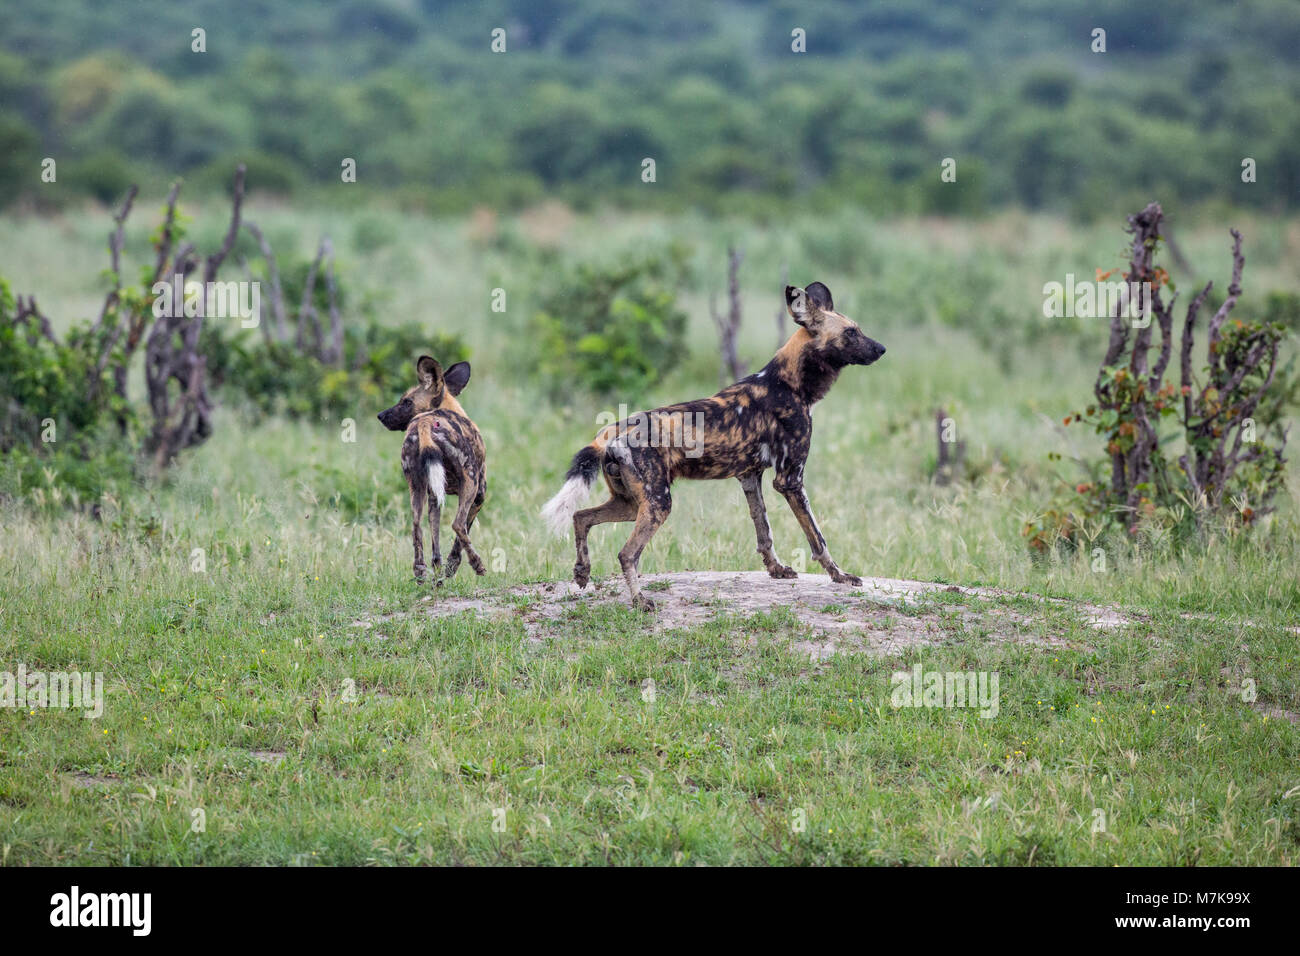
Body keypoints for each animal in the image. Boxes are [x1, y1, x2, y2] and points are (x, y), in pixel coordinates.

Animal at [379, 358, 491, 582]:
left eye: (406, 402)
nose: (381, 415)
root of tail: (424, 423)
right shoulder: (479, 495)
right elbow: (460, 538)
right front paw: (450, 569)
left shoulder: (434, 497)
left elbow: (435, 542)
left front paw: (439, 574)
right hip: (471, 484)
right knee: (457, 525)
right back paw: (478, 565)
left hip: (416, 488)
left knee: (416, 527)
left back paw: (420, 572)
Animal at [543, 280, 889, 608]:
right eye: (850, 333)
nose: (882, 349)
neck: (791, 383)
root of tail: (613, 429)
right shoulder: (790, 480)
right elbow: (818, 539)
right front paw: (840, 576)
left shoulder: (750, 477)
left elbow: (764, 532)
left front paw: (776, 570)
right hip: (657, 504)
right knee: (627, 553)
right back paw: (640, 602)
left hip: (631, 504)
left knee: (581, 516)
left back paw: (582, 573)